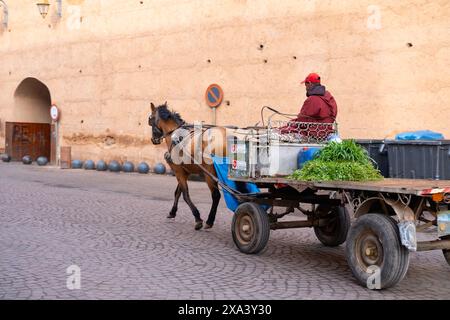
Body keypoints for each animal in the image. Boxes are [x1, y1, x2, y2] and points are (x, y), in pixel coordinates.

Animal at [149, 102, 229, 230]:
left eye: (150, 119)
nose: (154, 140)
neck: (175, 136)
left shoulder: (178, 171)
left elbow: (185, 195)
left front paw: (197, 218)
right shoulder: (184, 172)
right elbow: (177, 192)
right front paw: (172, 212)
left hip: (209, 175)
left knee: (216, 195)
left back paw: (209, 221)